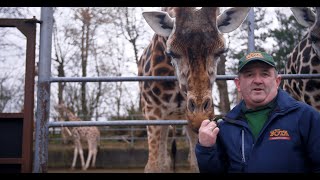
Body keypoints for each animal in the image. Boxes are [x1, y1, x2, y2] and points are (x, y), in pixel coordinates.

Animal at [139, 7, 251, 173]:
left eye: (221, 52)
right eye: (171, 53)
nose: (199, 115)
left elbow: (197, 163)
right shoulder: (152, 112)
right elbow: (152, 166)